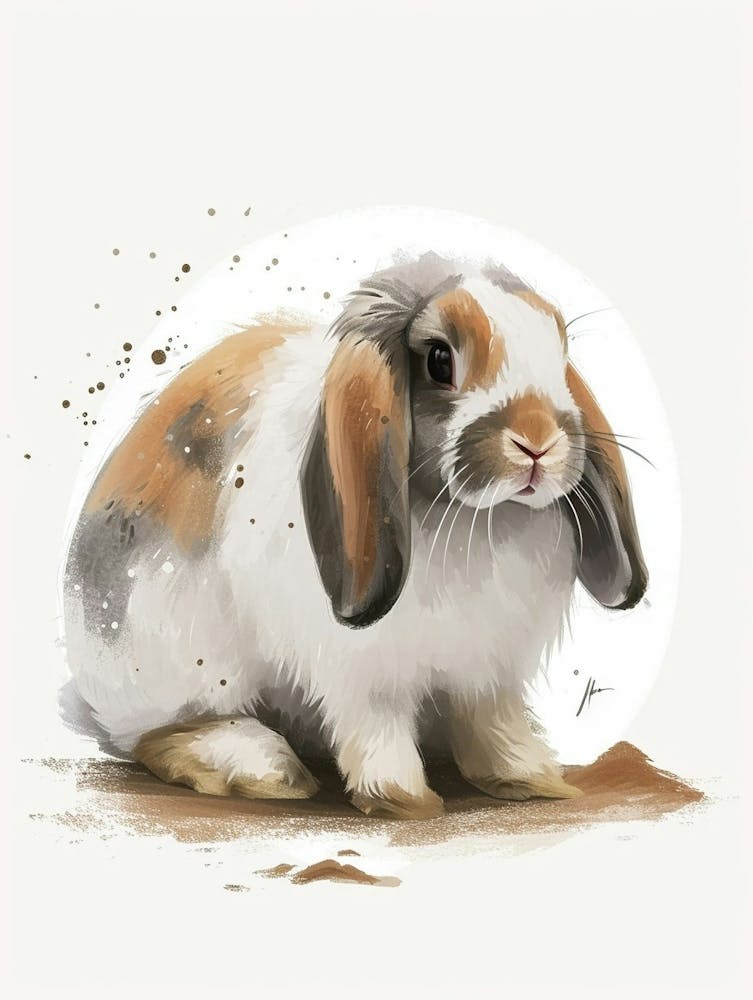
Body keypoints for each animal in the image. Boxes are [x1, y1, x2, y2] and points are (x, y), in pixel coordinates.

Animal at [63, 251, 647, 819]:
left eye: (559, 345)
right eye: (439, 360)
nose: (538, 442)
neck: (470, 518)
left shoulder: (487, 671)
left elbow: (492, 723)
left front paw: (530, 778)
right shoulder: (362, 671)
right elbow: (378, 724)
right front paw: (404, 799)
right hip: (178, 658)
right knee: (160, 735)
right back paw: (265, 769)